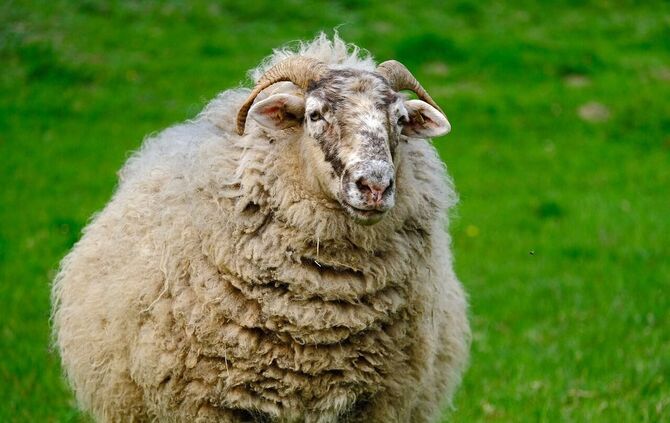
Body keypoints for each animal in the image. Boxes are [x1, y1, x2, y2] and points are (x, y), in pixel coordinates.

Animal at [51, 33, 470, 422]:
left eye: (400, 120)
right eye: (315, 115)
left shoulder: (375, 403)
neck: (317, 314)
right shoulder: (209, 402)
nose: (375, 186)